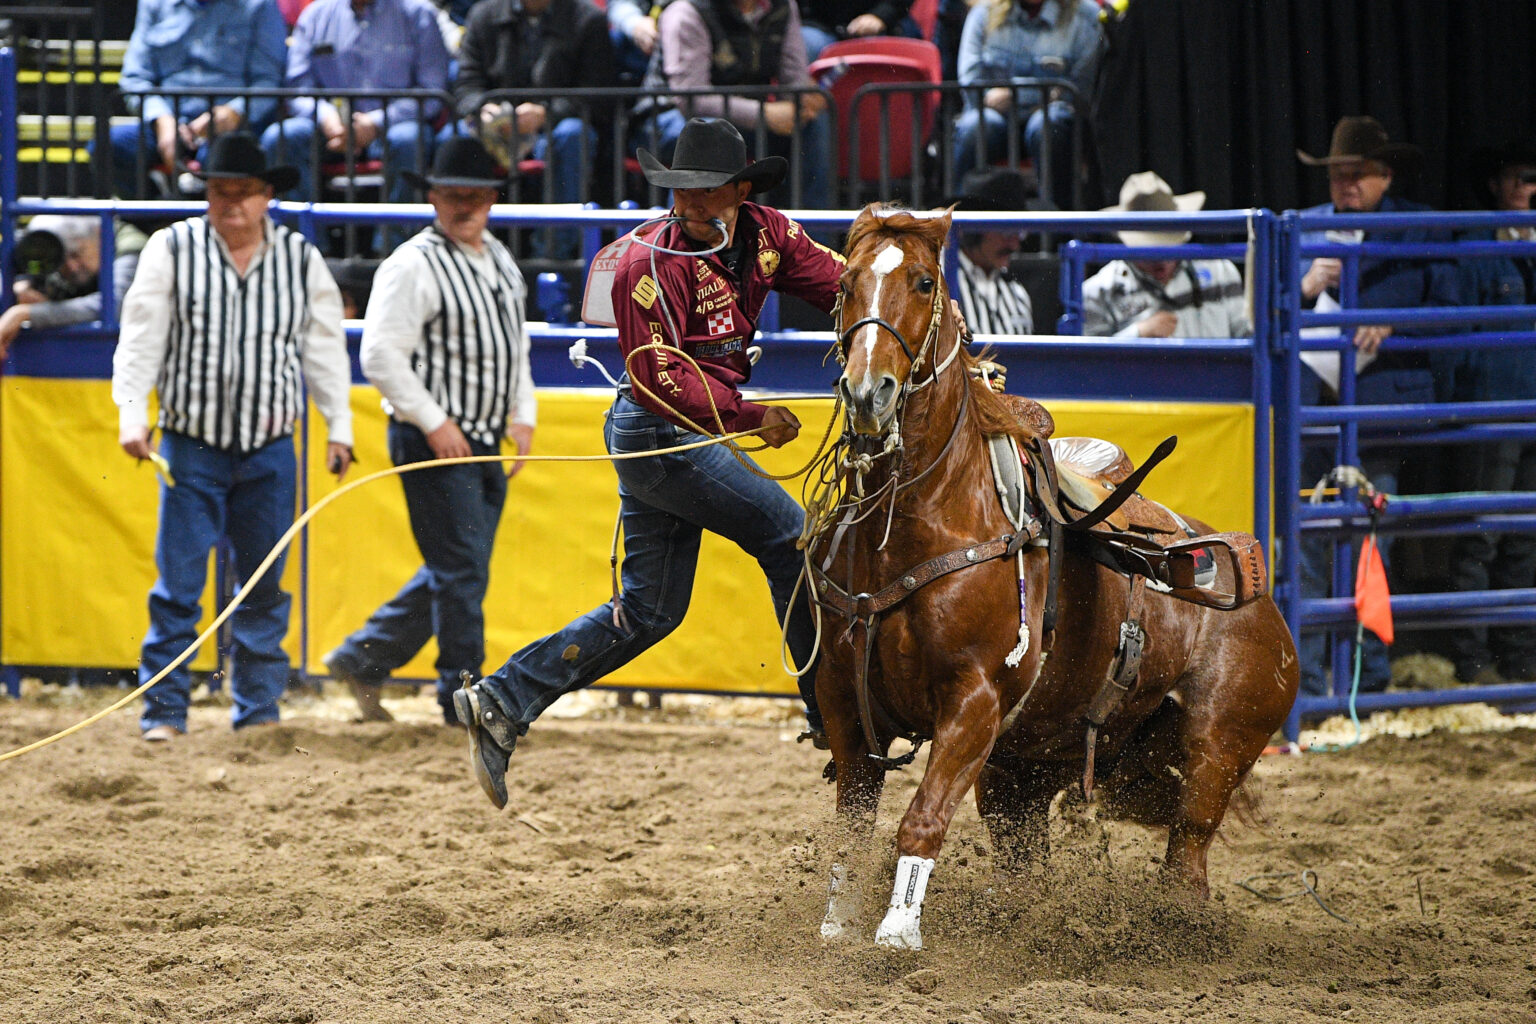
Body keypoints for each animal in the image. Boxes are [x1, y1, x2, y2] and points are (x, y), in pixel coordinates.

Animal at [811, 204, 1302, 951]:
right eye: (845, 283)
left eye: (923, 282)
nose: (869, 394)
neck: (931, 519)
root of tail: (1262, 597)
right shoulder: (848, 705)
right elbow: (850, 830)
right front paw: (838, 928)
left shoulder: (973, 704)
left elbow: (919, 820)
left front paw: (896, 935)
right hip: (1028, 773)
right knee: (1026, 860)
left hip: (1216, 749)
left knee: (1187, 857)